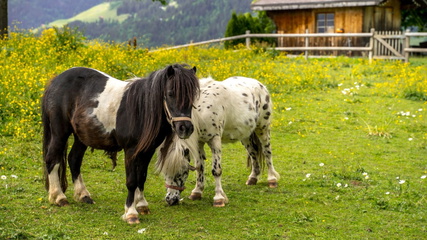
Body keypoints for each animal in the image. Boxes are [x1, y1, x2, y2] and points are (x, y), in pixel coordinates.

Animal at [41, 64, 199, 223]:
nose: (185, 128)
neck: (141, 109)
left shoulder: (147, 151)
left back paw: (83, 195)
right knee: (52, 159)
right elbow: (131, 181)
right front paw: (131, 213)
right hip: (60, 133)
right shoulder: (130, 151)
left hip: (82, 137)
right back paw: (59, 197)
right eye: (171, 93)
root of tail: (55, 81)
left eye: (193, 96)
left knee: (74, 160)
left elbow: (142, 177)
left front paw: (142, 205)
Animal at [157, 76, 280, 206]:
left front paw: (219, 198)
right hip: (246, 135)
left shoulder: (214, 140)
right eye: (165, 173)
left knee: (267, 152)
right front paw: (197, 192)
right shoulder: (199, 142)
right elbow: (199, 167)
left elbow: (216, 170)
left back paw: (272, 179)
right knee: (253, 153)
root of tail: (260, 84)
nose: (170, 200)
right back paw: (253, 178)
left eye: (180, 172)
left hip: (263, 129)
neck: (201, 110)